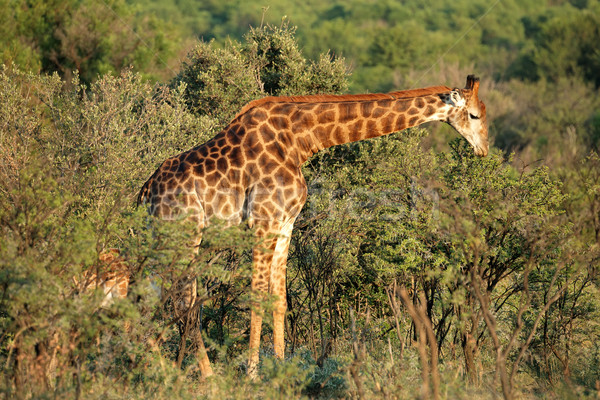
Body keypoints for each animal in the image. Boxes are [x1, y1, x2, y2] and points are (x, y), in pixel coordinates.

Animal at [138, 75, 490, 378]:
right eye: (474, 115)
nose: (484, 150)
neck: (300, 140)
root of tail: (146, 190)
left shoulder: (285, 224)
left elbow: (280, 299)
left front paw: (281, 369)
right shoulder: (263, 222)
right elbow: (257, 297)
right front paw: (252, 375)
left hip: (164, 237)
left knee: (150, 294)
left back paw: (154, 367)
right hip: (185, 234)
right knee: (184, 301)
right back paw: (204, 376)